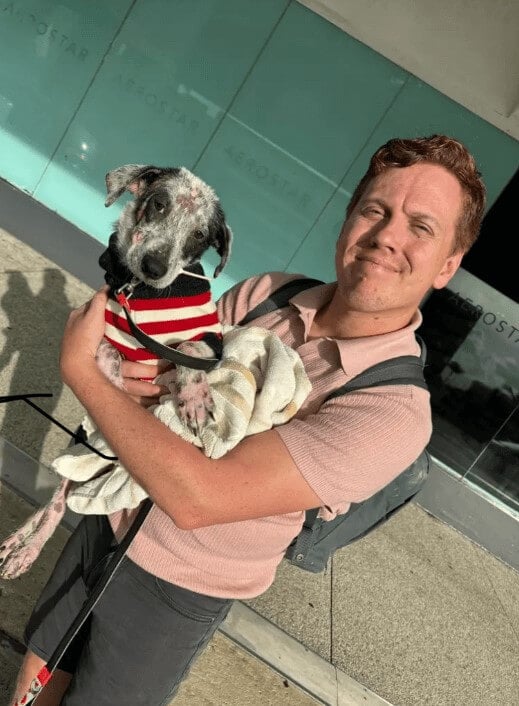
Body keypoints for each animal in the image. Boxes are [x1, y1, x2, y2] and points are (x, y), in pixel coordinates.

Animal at [0, 165, 234, 576]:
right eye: (159, 204)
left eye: (200, 235)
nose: (154, 267)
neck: (140, 291)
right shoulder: (102, 337)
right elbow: (110, 363)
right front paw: (127, 394)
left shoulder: (209, 338)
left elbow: (188, 348)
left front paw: (191, 395)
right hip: (76, 461)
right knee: (54, 506)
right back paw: (24, 549)